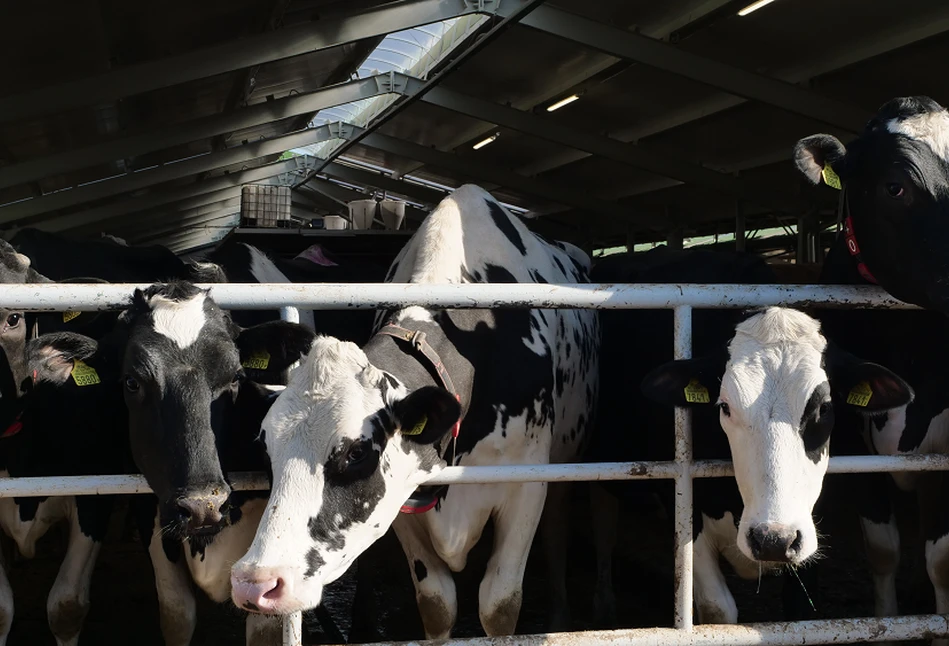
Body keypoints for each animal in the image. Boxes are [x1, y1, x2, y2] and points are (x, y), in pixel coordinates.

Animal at [228, 185, 600, 640]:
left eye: (356, 452)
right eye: (266, 449)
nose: (255, 582)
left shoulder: (525, 488)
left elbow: (500, 605)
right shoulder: (405, 499)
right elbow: (437, 604)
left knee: (557, 531)